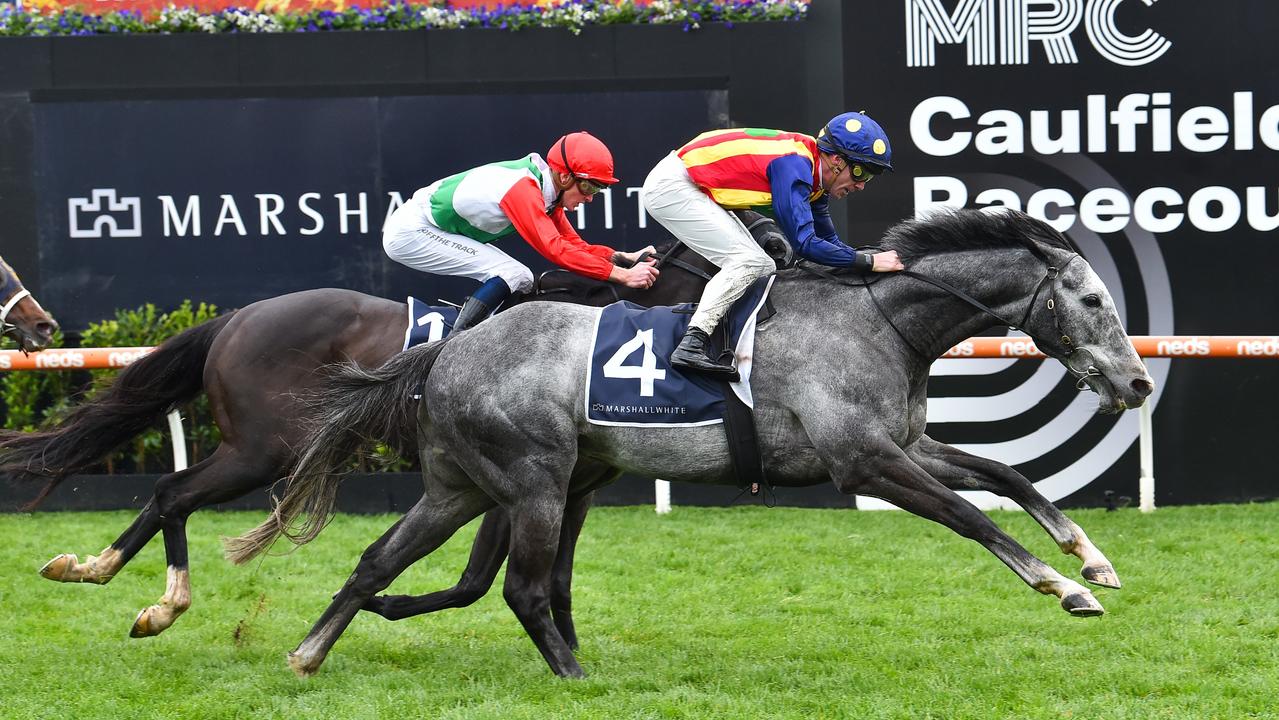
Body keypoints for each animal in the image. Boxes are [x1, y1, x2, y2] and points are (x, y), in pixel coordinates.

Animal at [0, 244, 716, 636]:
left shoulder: (565, 486)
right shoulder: (522, 480)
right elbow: (483, 579)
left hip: (255, 449)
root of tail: (237, 318)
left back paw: (93, 567)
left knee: (166, 494)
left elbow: (528, 580)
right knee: (173, 491)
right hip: (263, 450)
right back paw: (161, 602)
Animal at [232, 207, 1161, 675]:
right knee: (523, 588)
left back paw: (309, 652)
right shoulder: (862, 460)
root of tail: (449, 347)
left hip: (459, 486)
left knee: (376, 563)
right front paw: (1061, 587)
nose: (1136, 383)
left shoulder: (903, 445)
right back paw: (574, 679)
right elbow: (970, 516)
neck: (878, 318)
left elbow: (1008, 476)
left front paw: (1093, 561)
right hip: (532, 481)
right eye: (1089, 300)